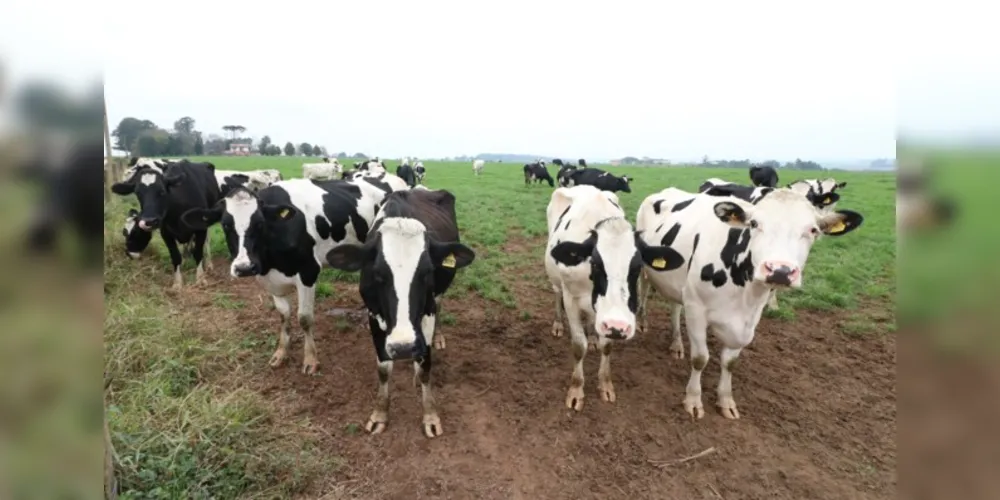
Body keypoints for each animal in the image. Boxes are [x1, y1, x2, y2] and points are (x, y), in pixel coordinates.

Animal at [113, 158, 223, 288]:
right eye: (138, 193)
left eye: (162, 191)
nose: (129, 253)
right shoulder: (166, 233)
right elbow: (175, 256)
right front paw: (177, 283)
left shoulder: (200, 229)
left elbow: (198, 252)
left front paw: (200, 279)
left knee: (206, 242)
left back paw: (209, 264)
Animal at [324, 188, 472, 438]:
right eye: (377, 273)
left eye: (427, 271)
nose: (403, 347)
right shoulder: (373, 314)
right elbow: (383, 368)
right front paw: (379, 414)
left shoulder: (427, 312)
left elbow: (425, 368)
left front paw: (430, 416)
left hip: (438, 296)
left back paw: (437, 339)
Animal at [544, 184, 684, 410]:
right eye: (595, 263)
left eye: (637, 267)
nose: (617, 327)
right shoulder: (571, 298)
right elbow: (578, 346)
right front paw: (576, 389)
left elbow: (607, 346)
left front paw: (605, 384)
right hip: (557, 282)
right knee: (557, 294)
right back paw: (558, 324)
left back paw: (593, 337)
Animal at [636, 187, 864, 418]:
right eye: (754, 224)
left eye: (813, 230)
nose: (780, 270)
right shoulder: (696, 309)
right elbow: (700, 358)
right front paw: (693, 400)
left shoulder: (750, 319)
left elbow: (730, 362)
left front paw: (726, 400)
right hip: (647, 271)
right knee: (645, 291)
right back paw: (643, 323)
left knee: (675, 306)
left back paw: (676, 344)